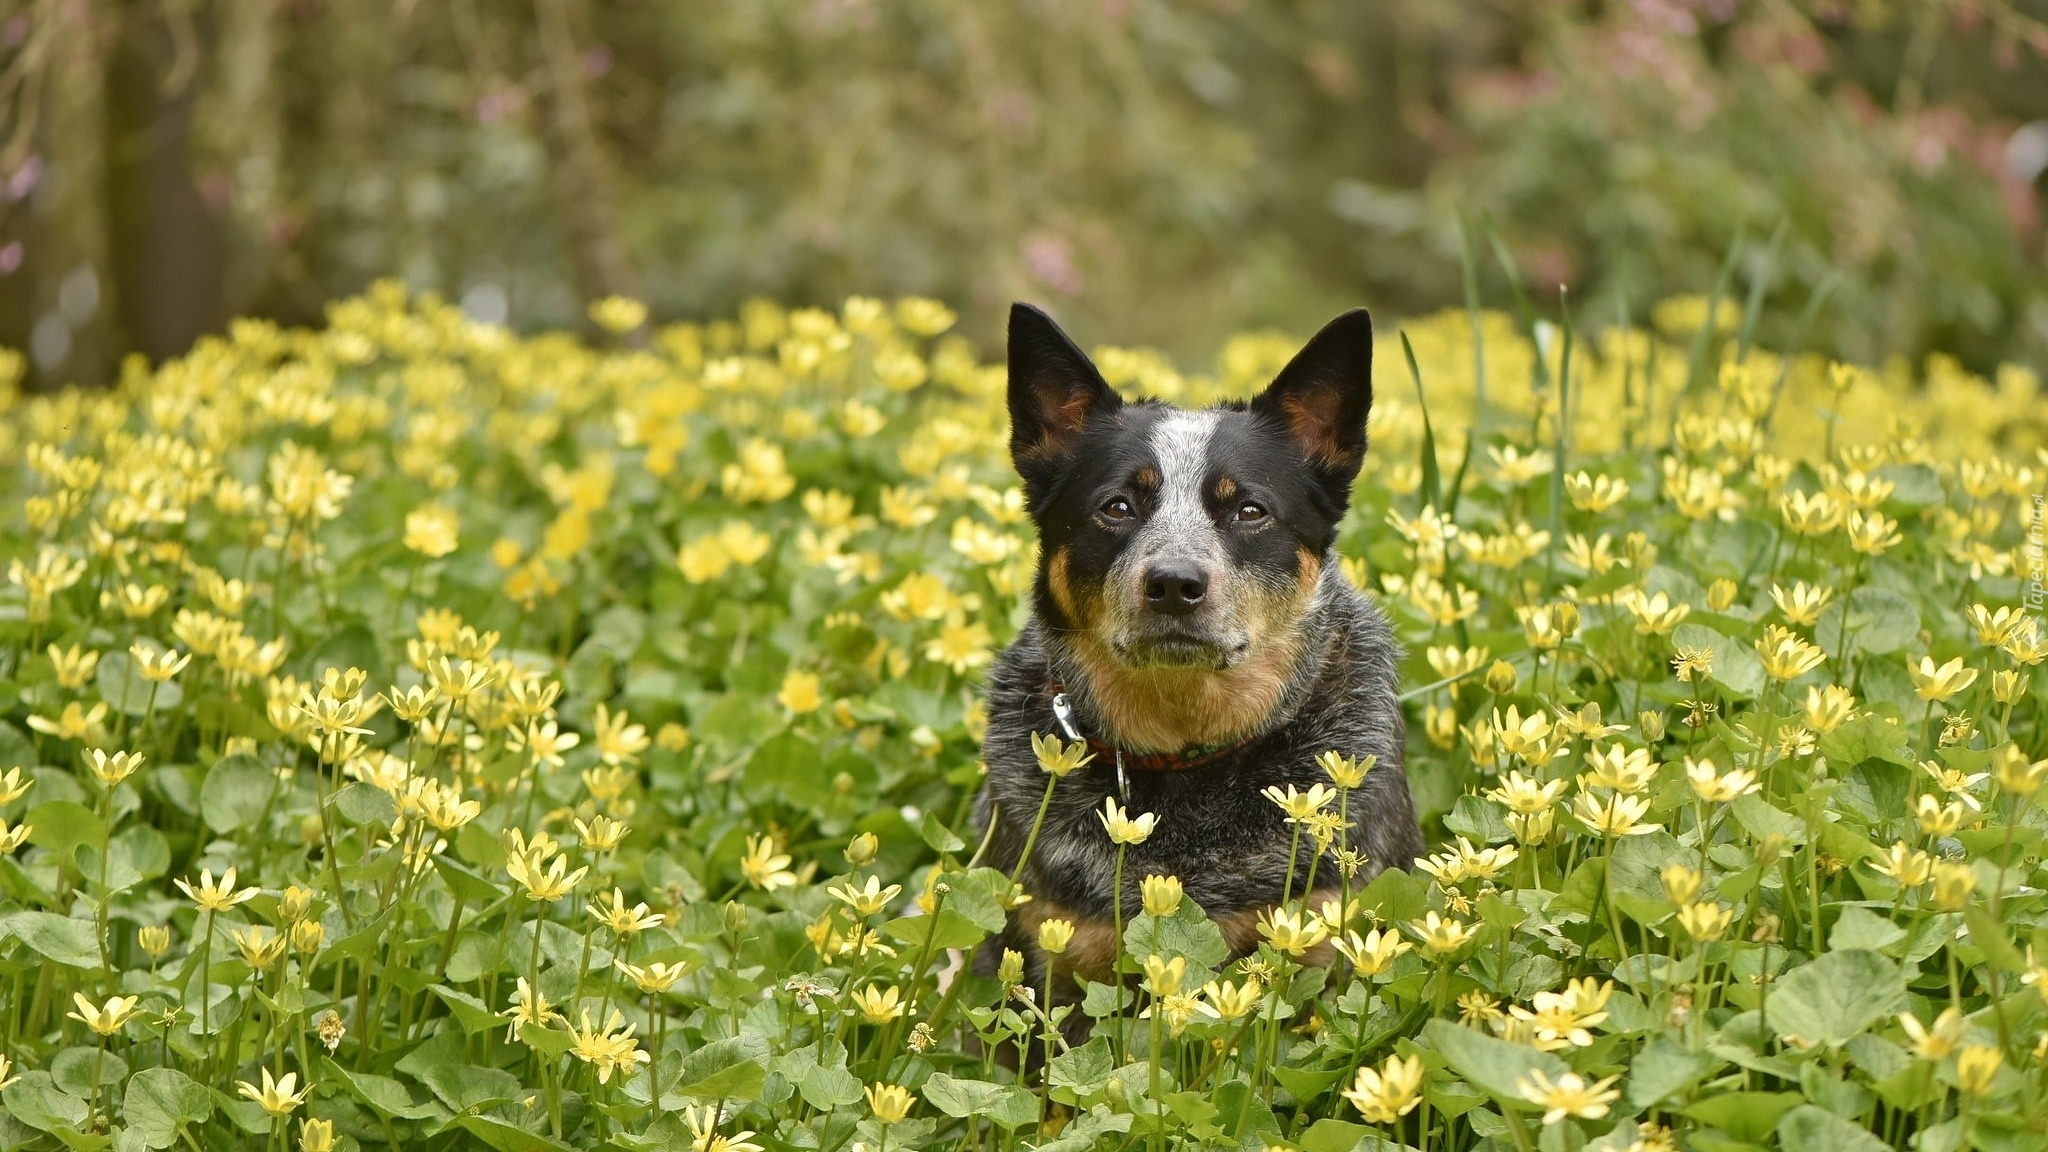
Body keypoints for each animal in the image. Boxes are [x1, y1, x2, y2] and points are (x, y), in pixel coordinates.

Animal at [974, 297, 1425, 1020]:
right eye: (1117, 506)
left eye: (1250, 509)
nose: (1174, 583)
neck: (1188, 753)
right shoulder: (1054, 965)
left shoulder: (1326, 949)